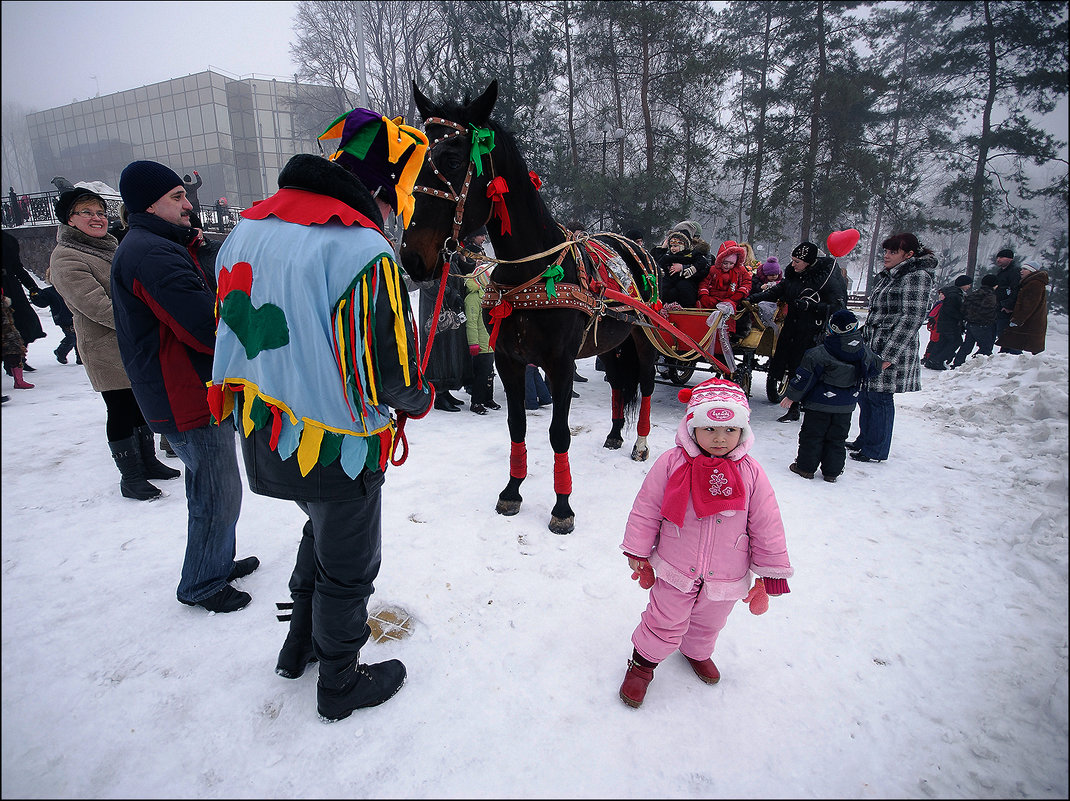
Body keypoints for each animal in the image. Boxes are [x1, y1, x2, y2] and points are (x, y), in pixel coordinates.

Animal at [402, 81, 659, 534]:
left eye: (453, 159)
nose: (412, 257)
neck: (533, 270)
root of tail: (636, 248)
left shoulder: (559, 364)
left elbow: (559, 433)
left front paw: (562, 506)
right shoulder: (509, 361)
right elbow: (516, 425)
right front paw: (512, 491)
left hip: (642, 337)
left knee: (644, 385)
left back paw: (640, 444)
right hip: (612, 345)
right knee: (617, 383)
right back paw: (614, 434)